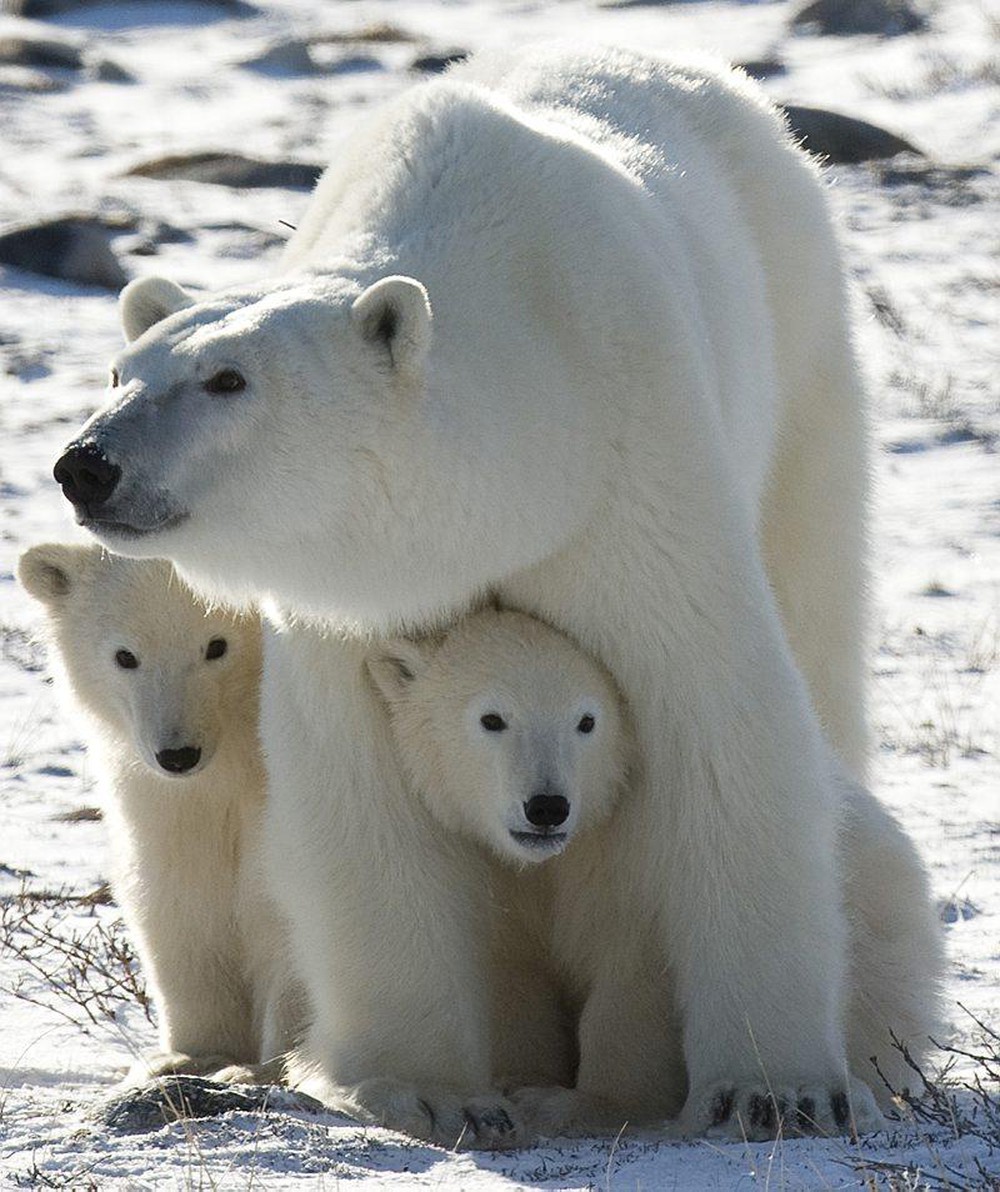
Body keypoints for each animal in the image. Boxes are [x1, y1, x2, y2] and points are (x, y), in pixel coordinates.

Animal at [16, 545, 305, 1087]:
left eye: (217, 645)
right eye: (125, 656)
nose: (178, 755)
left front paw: (269, 1067)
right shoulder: (163, 803)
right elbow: (178, 898)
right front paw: (190, 1056)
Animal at [371, 610, 943, 1139]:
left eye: (587, 721)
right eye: (492, 718)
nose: (547, 807)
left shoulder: (640, 853)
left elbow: (635, 978)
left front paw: (580, 1104)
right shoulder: (494, 878)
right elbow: (514, 977)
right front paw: (517, 1084)